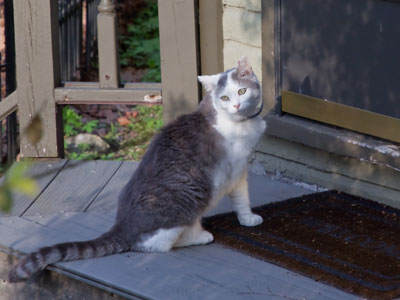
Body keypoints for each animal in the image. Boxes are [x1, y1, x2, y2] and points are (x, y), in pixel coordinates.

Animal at [8, 55, 266, 282]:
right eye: (224, 98)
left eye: (241, 92)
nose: (236, 105)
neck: (241, 122)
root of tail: (122, 226)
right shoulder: (234, 168)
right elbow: (242, 196)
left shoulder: (240, 172)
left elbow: (242, 199)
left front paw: (247, 219)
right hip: (191, 199)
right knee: (156, 244)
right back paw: (200, 236)